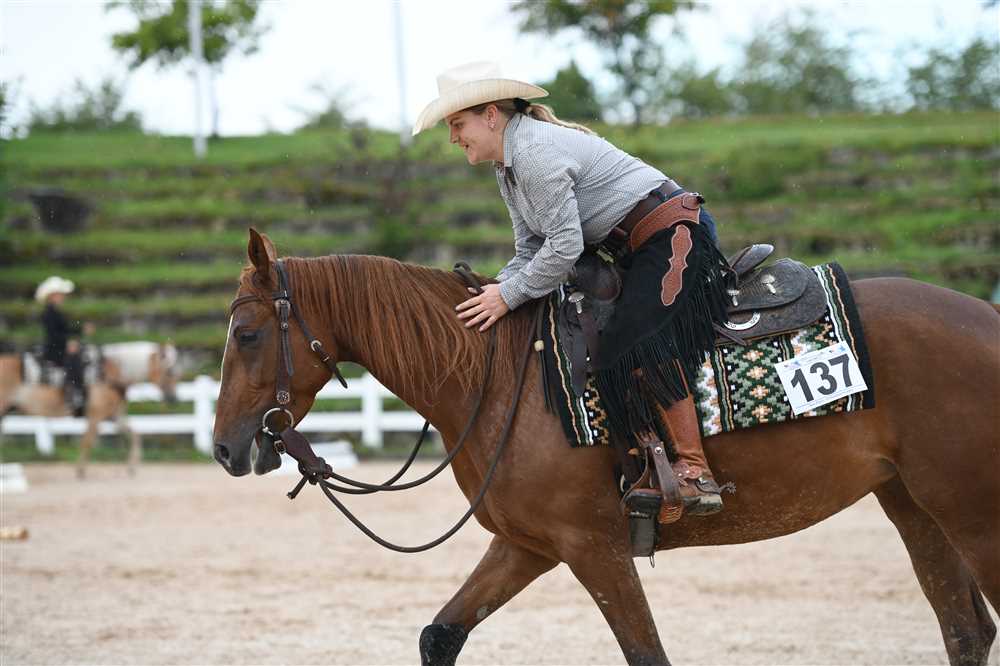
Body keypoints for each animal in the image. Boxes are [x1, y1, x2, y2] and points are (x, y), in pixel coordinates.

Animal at [0, 341, 179, 478]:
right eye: (169, 371)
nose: (173, 398)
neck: (108, 373)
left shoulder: (115, 416)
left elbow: (135, 435)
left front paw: (132, 467)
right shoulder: (95, 416)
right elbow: (87, 441)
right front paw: (80, 471)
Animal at [213, 229, 999, 666]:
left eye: (246, 334)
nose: (224, 448)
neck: (498, 372)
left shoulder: (595, 546)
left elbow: (647, 654)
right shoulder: (527, 544)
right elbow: (440, 636)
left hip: (972, 514)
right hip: (913, 504)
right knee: (965, 631)